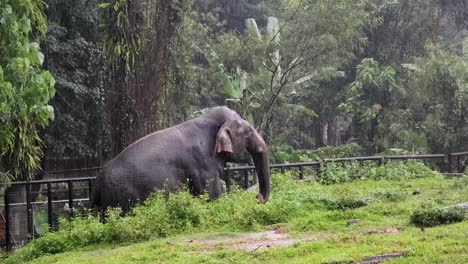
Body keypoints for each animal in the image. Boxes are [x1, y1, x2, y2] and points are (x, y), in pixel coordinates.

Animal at [91, 106, 270, 211]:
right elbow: (212, 195)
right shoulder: (203, 163)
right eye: (248, 132)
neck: (207, 118)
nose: (258, 197)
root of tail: (97, 183)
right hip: (123, 196)